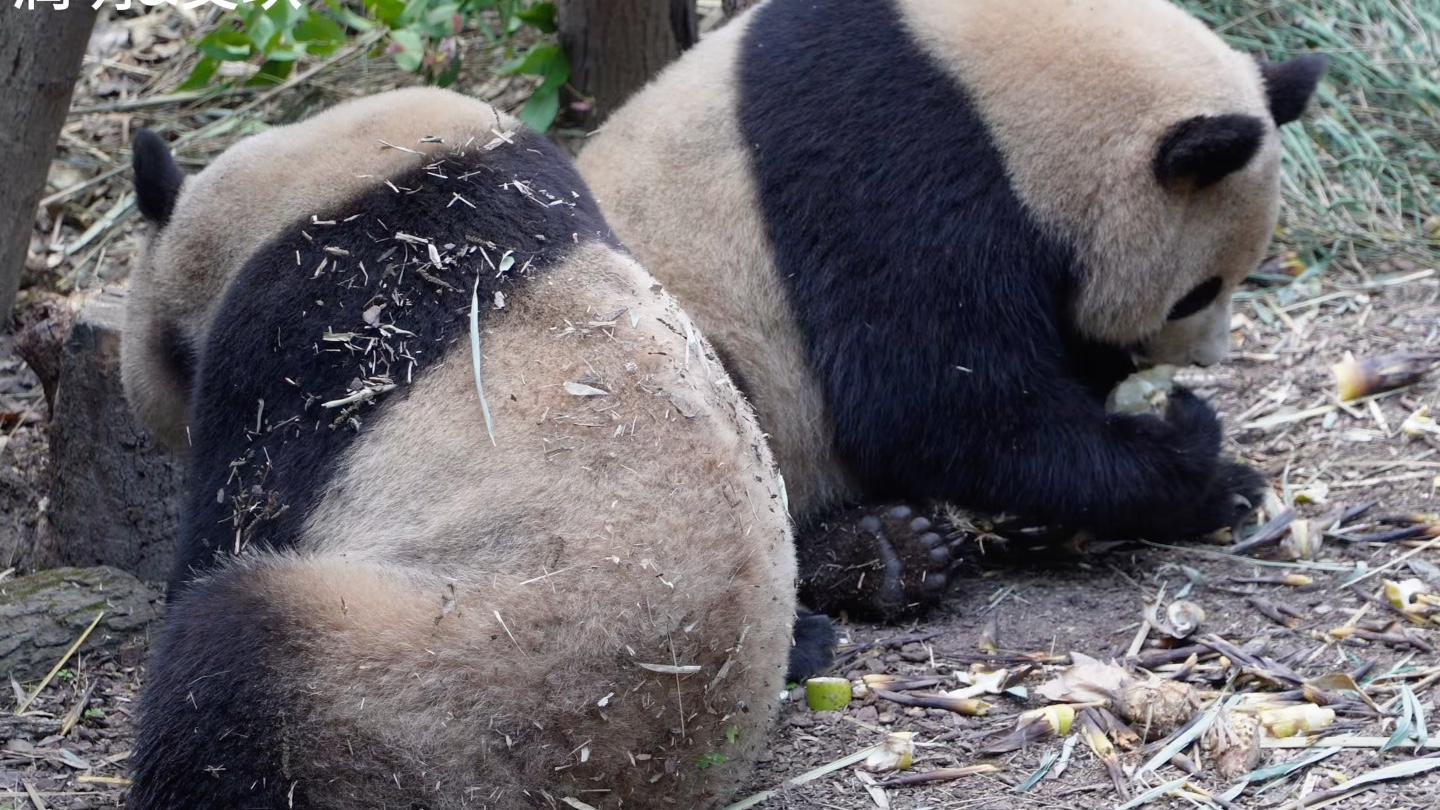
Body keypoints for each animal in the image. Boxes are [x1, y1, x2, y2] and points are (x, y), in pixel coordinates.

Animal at [576, 0, 1324, 616]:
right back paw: (873, 561)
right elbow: (940, 404)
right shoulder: (892, 153)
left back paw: (884, 552)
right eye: (1199, 290)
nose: (1208, 358)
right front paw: (1205, 464)